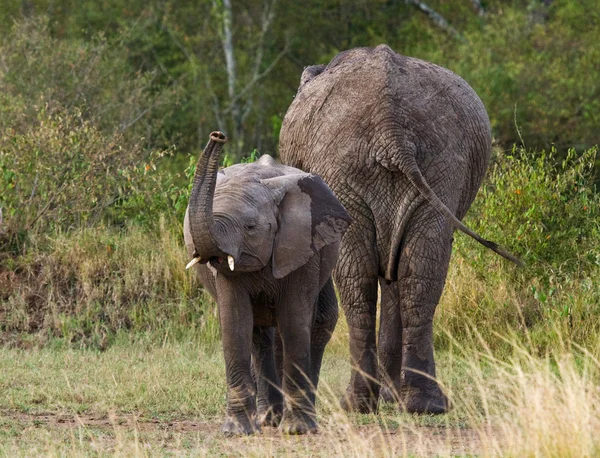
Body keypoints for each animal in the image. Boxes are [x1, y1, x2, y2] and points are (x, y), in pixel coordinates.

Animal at [183, 131, 352, 432]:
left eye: (250, 227)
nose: (218, 135)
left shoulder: (301, 248)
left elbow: (294, 321)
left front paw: (297, 430)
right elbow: (235, 323)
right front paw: (237, 432)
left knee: (319, 321)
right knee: (260, 336)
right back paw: (267, 419)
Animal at [278, 44, 516, 414]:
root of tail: (390, 126)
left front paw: (390, 397)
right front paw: (393, 397)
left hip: (353, 167)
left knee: (361, 274)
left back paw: (360, 403)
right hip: (437, 164)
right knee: (417, 269)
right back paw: (423, 404)